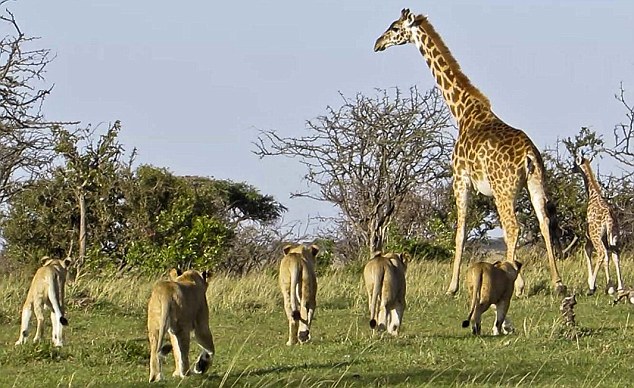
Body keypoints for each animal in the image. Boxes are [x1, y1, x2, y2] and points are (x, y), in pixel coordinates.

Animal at [372, 8, 564, 294]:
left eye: (395, 28)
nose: (378, 44)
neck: (463, 111)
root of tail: (529, 156)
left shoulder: (460, 179)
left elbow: (460, 232)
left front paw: (452, 287)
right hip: (535, 182)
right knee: (543, 221)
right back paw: (558, 283)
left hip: (504, 189)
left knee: (513, 227)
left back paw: (517, 284)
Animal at [572, 156, 620, 296]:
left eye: (575, 164)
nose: (572, 169)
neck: (593, 194)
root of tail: (609, 217)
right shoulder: (604, 237)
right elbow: (609, 257)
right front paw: (610, 287)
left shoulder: (589, 236)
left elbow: (587, 251)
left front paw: (592, 284)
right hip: (614, 235)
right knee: (615, 254)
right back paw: (620, 288)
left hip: (596, 236)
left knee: (601, 253)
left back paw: (592, 288)